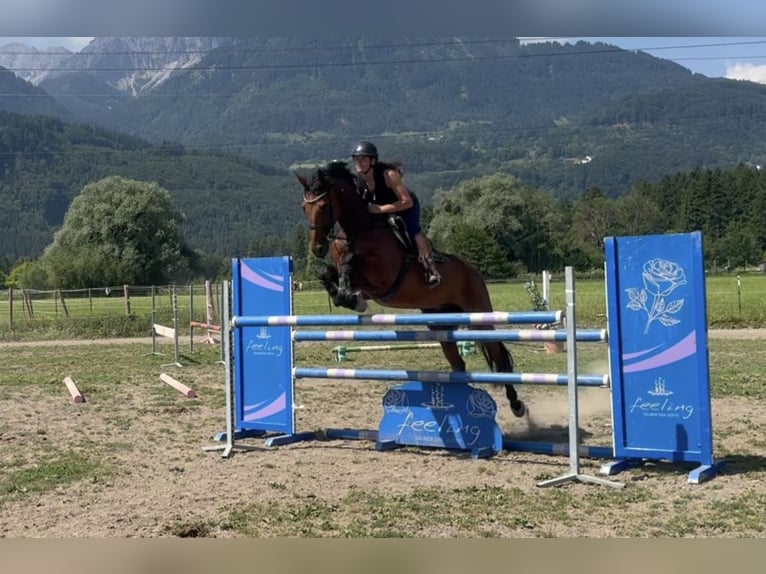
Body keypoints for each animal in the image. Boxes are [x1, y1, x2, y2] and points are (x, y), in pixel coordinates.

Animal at [296, 161, 526, 418]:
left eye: (324, 205)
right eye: (304, 207)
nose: (317, 248)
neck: (361, 229)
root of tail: (474, 272)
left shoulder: (381, 278)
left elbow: (348, 261)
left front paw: (351, 297)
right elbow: (326, 273)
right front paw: (348, 298)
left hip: (478, 318)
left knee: (498, 358)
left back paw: (516, 405)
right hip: (441, 324)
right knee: (458, 364)